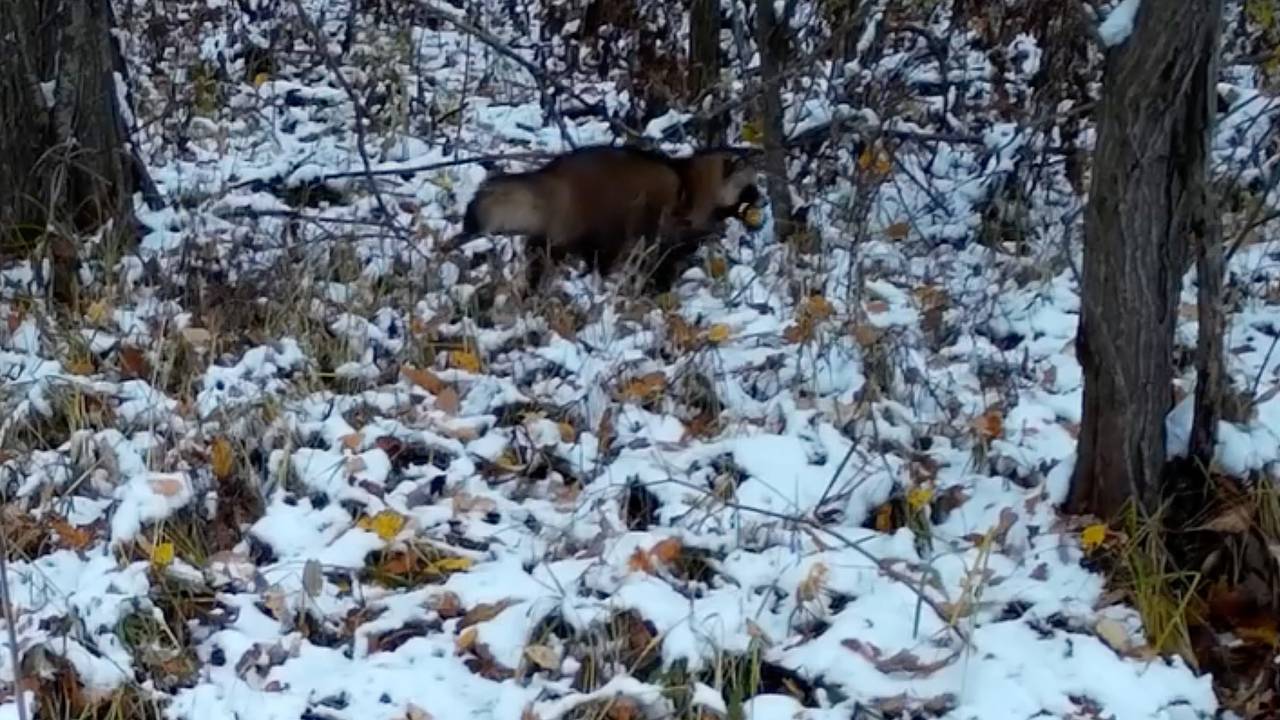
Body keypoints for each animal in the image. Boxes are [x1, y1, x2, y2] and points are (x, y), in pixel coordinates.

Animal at [458, 142, 757, 292]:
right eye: (749, 189)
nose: (761, 199)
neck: (693, 180)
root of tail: (555, 176)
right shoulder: (669, 223)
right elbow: (663, 255)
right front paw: (660, 284)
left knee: (541, 252)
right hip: (605, 217)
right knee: (600, 254)